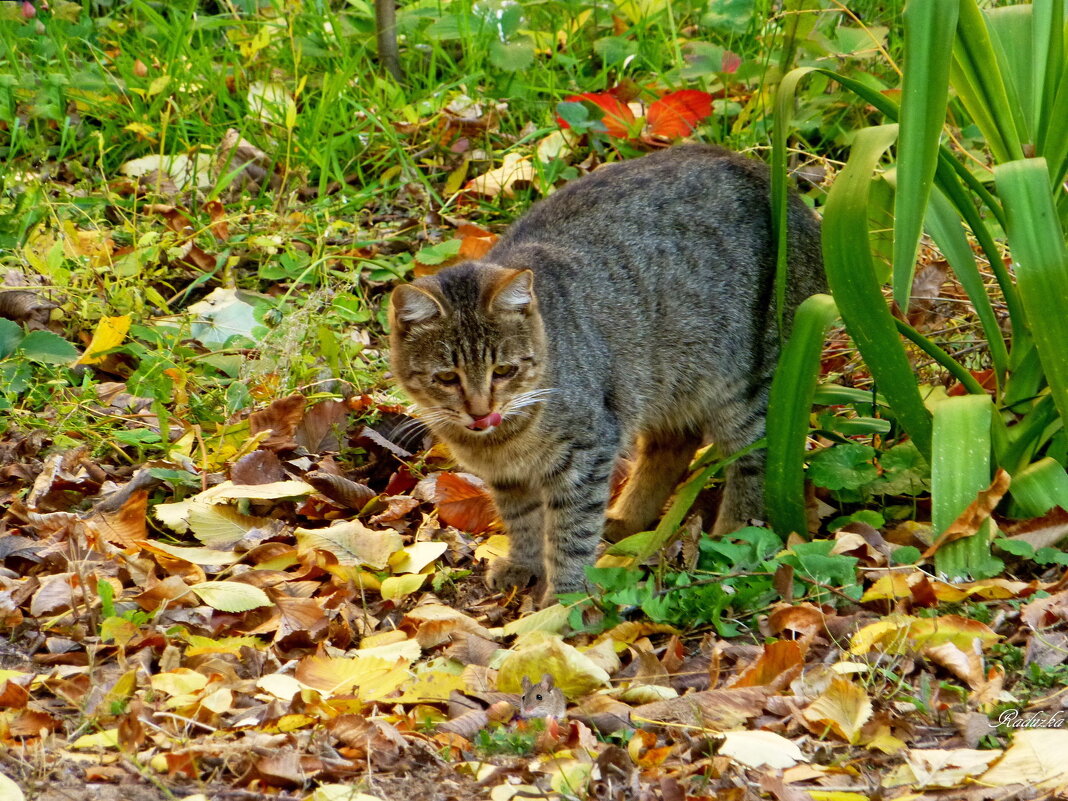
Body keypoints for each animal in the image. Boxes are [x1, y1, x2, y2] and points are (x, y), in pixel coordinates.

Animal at [388, 146, 820, 606]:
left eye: (503, 370)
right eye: (447, 378)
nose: (481, 412)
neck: (502, 442)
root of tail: (792, 197)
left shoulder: (586, 454)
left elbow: (570, 532)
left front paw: (563, 599)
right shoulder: (509, 478)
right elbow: (523, 521)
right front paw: (525, 563)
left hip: (749, 384)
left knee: (755, 457)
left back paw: (734, 536)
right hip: (663, 380)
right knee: (675, 443)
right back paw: (631, 519)